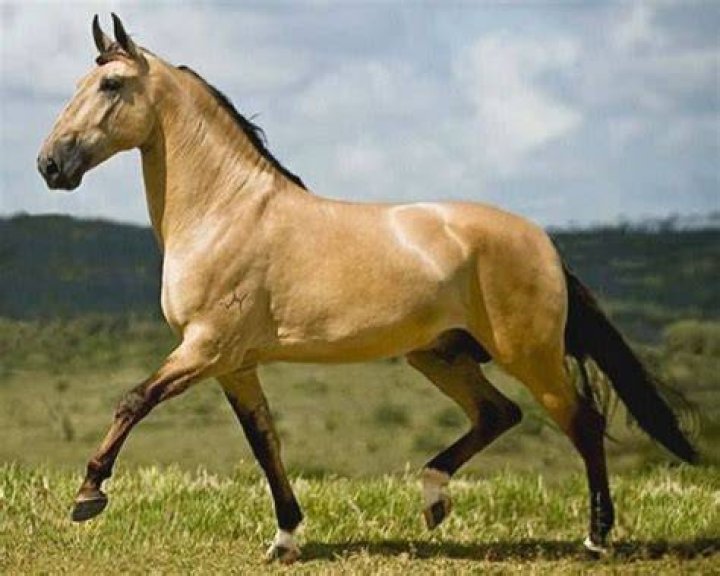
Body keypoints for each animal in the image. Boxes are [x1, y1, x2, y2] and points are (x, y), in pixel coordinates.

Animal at [37, 14, 697, 564]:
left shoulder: (206, 349)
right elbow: (264, 442)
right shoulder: (232, 364)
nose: (50, 165)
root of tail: (544, 244)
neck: (227, 212)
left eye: (111, 84)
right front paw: (285, 538)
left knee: (581, 423)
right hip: (439, 354)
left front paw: (88, 495)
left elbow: (133, 400)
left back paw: (595, 539)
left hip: (528, 355)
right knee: (498, 413)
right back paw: (433, 500)